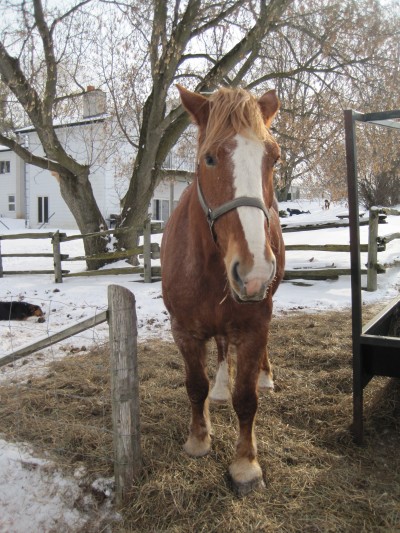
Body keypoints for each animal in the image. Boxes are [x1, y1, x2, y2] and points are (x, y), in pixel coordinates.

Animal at [159, 84, 284, 494]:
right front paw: (199, 439)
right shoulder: (184, 330)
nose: (254, 271)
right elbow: (195, 385)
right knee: (220, 350)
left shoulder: (253, 326)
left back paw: (265, 376)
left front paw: (246, 465)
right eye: (209, 159)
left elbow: (246, 398)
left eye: (273, 158)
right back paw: (219, 388)